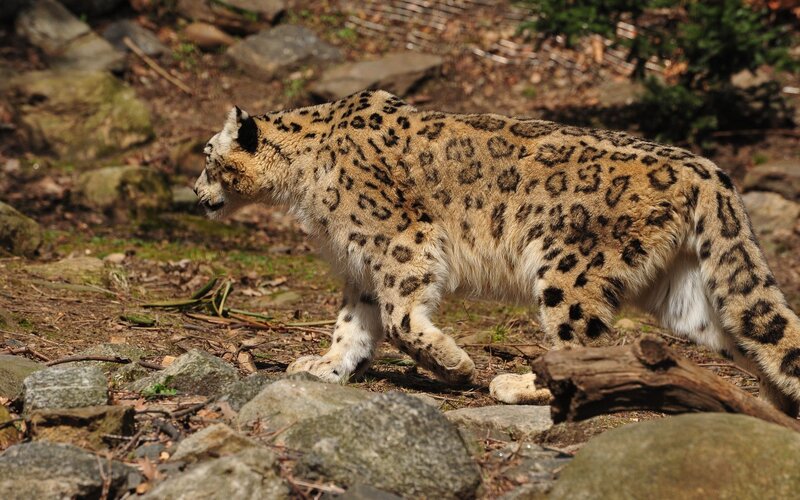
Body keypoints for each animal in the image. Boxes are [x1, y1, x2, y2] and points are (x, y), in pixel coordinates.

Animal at [194, 89, 800, 415]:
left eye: (206, 157)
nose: (196, 193)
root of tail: (705, 168)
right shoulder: (360, 263)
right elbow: (354, 322)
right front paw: (326, 366)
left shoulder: (400, 242)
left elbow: (398, 318)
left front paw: (454, 365)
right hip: (687, 294)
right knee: (754, 334)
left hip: (570, 269)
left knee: (576, 340)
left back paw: (518, 383)